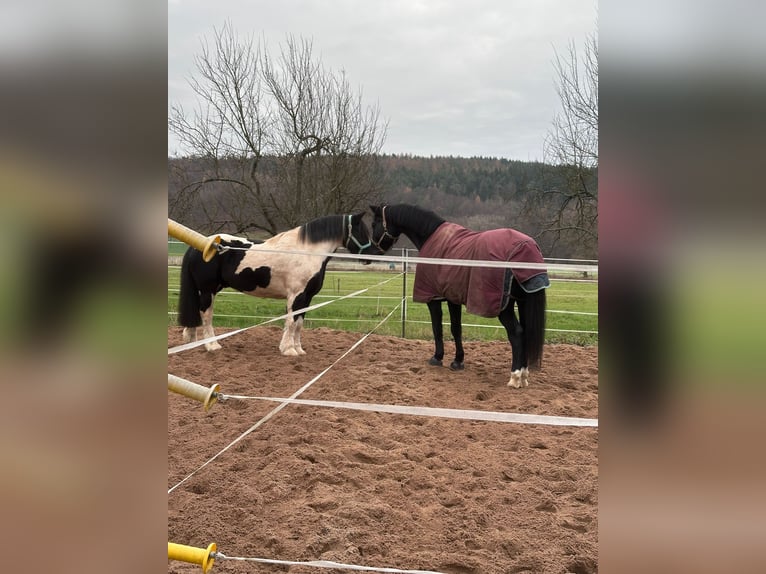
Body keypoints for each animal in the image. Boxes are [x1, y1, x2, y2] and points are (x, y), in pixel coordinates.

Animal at [177, 212, 381, 356]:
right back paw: (212, 346)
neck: (307, 252)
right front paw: (288, 349)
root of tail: (200, 246)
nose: (373, 254)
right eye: (361, 231)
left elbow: (299, 323)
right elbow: (291, 322)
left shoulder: (307, 297)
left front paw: (298, 349)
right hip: (207, 291)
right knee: (206, 316)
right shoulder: (296, 295)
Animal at [369, 204, 549, 388]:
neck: (430, 236)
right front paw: (458, 361)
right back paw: (524, 375)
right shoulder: (452, 297)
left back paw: (515, 377)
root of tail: (527, 247)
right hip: (523, 301)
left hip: (503, 307)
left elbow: (437, 327)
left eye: (374, 223)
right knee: (525, 333)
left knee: (517, 334)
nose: (372, 250)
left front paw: (437, 358)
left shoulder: (433, 298)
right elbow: (456, 329)